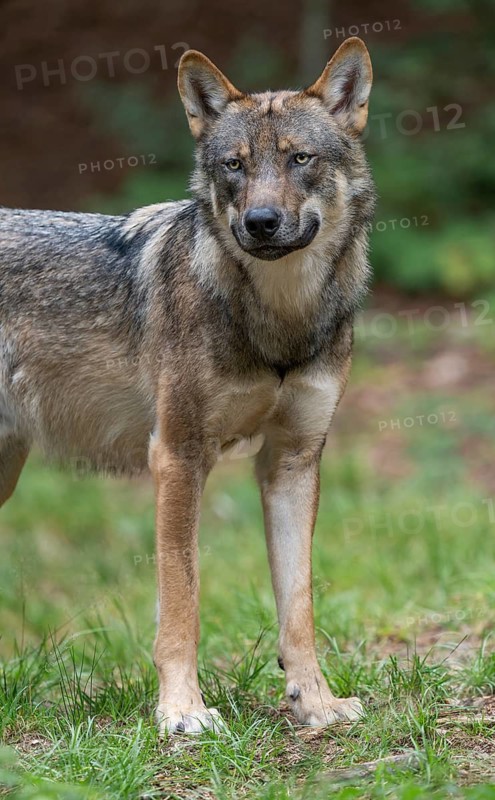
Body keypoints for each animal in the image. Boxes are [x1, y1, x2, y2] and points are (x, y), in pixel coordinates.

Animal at [0, 37, 375, 733]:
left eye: (300, 159)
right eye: (233, 165)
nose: (260, 222)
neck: (277, 320)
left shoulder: (292, 463)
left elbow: (299, 606)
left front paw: (315, 702)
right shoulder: (177, 457)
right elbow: (181, 601)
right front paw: (182, 713)